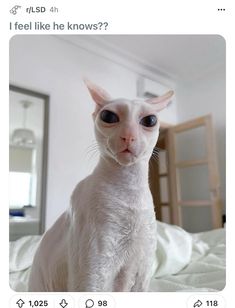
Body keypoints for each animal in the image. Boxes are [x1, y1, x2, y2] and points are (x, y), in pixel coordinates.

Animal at [28, 79, 173, 292]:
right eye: (108, 116)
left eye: (150, 120)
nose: (128, 136)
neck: (130, 189)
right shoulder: (93, 273)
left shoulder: (142, 273)